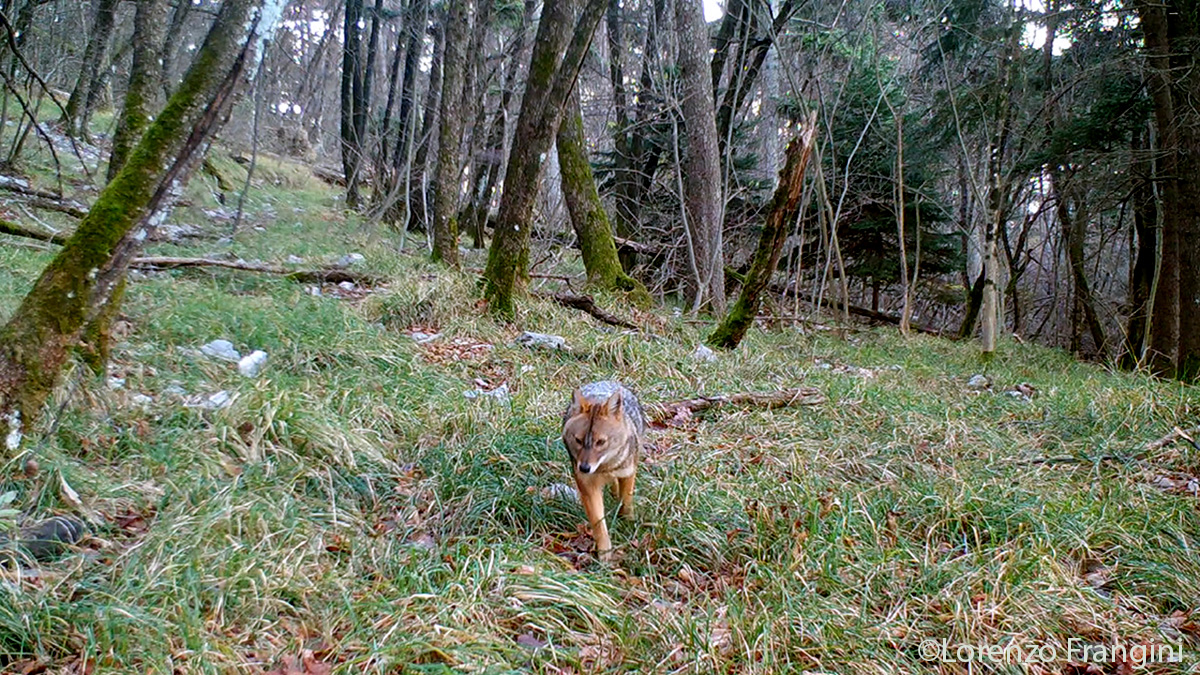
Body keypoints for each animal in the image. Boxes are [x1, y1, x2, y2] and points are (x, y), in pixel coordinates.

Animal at [561, 381, 645, 560]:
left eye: (600, 442)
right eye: (578, 440)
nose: (584, 468)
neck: (605, 467)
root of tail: (608, 381)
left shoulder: (627, 473)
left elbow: (627, 501)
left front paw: (628, 521)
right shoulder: (587, 486)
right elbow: (598, 524)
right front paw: (605, 554)